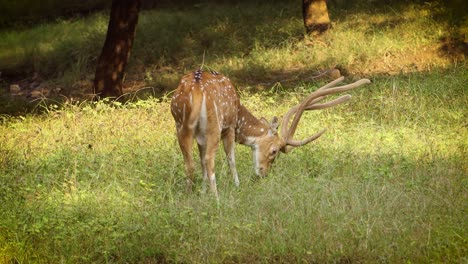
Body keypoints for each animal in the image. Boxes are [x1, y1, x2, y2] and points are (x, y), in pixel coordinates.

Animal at [170, 69, 372, 197]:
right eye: (274, 151)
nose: (263, 173)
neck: (239, 112)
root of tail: (196, 91)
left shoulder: (201, 136)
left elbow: (202, 162)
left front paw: (203, 193)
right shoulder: (230, 126)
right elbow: (231, 158)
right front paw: (237, 185)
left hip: (181, 125)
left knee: (191, 164)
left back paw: (189, 196)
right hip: (214, 125)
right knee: (209, 160)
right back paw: (217, 198)